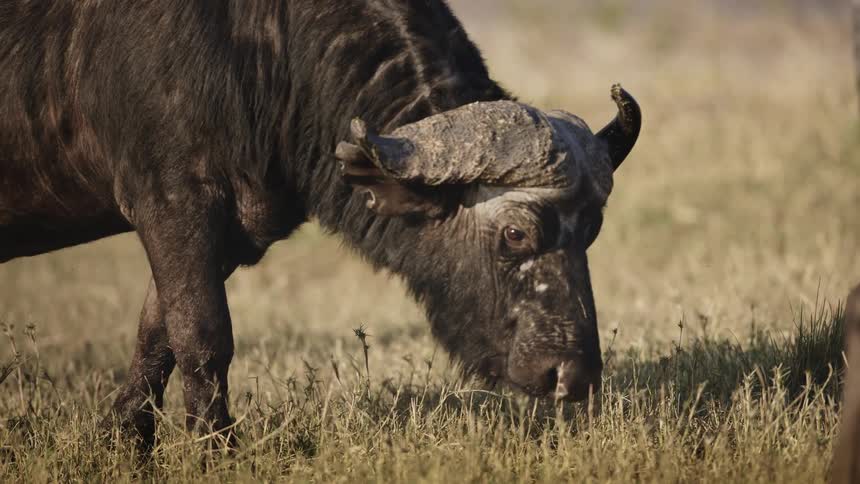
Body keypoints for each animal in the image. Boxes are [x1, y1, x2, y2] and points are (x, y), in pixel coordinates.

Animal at [0, 0, 641, 447]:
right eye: (515, 233)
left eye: (592, 231)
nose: (572, 375)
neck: (261, 44)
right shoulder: (171, 200)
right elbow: (203, 337)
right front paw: (217, 448)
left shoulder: (228, 226)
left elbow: (156, 336)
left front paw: (126, 441)